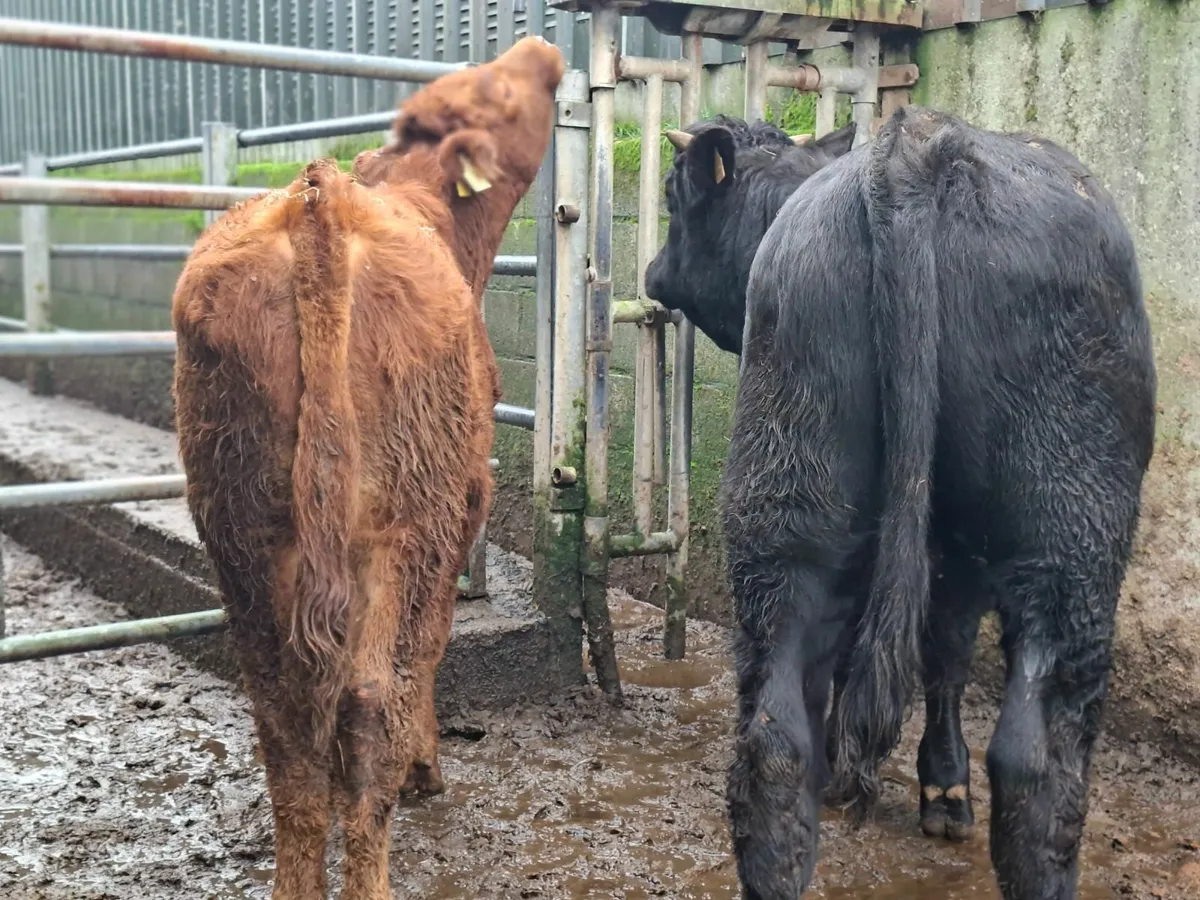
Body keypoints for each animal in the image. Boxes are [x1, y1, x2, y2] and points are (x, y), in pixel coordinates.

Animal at [171, 37, 565, 900]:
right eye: (492, 89)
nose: (543, 47)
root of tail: (317, 201)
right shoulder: (463, 511)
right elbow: (433, 649)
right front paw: (427, 768)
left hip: (241, 527)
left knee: (281, 710)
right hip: (407, 524)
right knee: (370, 697)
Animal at [646, 106, 1156, 900]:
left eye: (673, 200)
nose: (652, 273)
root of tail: (917, 148)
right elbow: (940, 655)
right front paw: (935, 784)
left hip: (789, 493)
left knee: (775, 733)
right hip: (1069, 530)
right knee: (1039, 756)